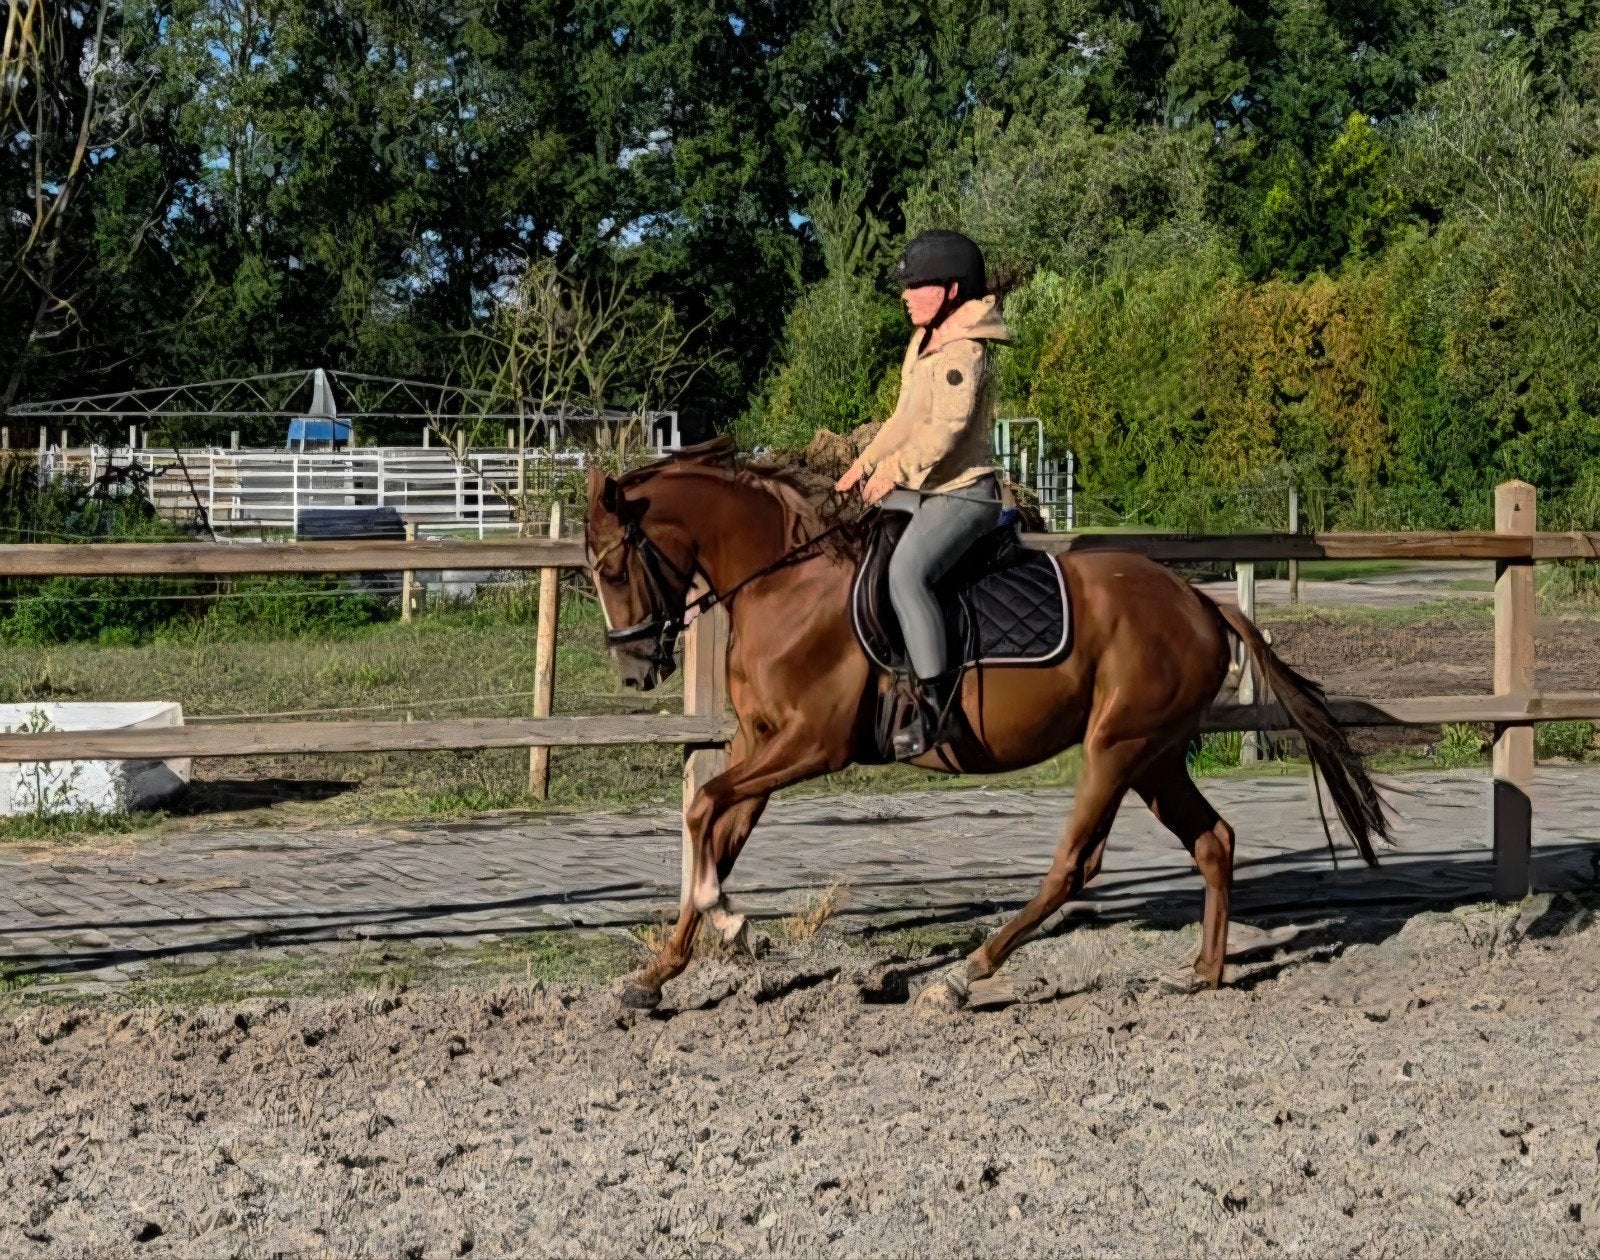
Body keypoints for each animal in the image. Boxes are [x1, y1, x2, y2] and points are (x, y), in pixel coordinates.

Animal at [584, 441, 1388, 1009]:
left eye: (613, 569)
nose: (633, 672)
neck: (787, 581)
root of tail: (1202, 603)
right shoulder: (760, 741)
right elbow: (718, 829)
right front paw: (660, 972)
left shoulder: (812, 743)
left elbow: (701, 807)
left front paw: (724, 921)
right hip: (1154, 756)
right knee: (1213, 841)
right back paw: (1205, 972)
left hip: (1115, 748)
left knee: (1076, 865)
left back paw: (965, 976)